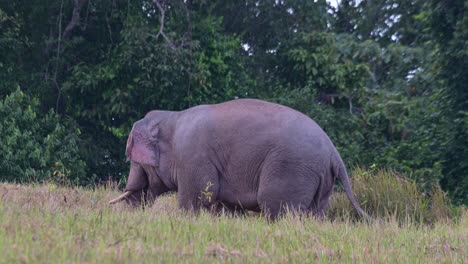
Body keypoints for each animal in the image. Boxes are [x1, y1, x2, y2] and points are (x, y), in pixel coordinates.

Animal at [109, 98, 370, 220]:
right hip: (320, 178)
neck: (172, 118)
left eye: (134, 160)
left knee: (276, 207)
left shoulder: (192, 156)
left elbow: (197, 197)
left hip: (292, 167)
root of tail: (333, 152)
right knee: (315, 213)